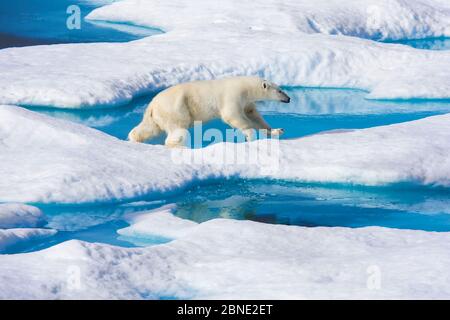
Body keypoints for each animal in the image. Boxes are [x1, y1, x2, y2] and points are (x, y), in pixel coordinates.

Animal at [128, 76, 290, 148]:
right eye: (280, 90)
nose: (288, 99)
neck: (246, 87)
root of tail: (152, 104)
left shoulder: (247, 103)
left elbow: (255, 116)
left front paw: (277, 130)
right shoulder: (233, 95)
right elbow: (233, 116)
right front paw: (251, 136)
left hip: (156, 115)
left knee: (148, 128)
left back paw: (133, 139)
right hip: (176, 109)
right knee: (178, 130)